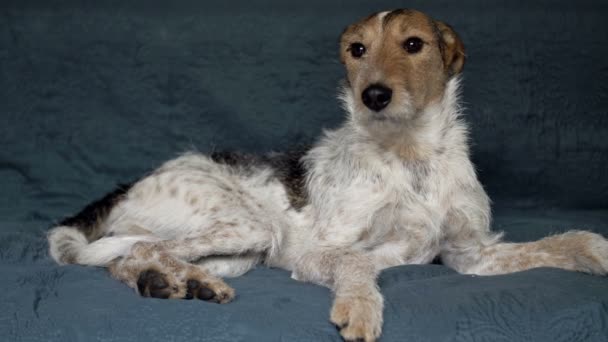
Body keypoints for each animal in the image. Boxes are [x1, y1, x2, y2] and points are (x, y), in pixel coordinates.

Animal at [47, 9, 608, 340]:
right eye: (357, 50)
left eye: (414, 44)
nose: (373, 95)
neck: (411, 156)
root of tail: (133, 182)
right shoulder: (322, 251)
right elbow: (357, 264)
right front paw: (359, 309)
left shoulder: (471, 255)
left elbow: (568, 241)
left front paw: (598, 253)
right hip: (248, 226)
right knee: (141, 249)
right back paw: (171, 283)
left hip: (242, 254)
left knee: (128, 260)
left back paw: (174, 284)